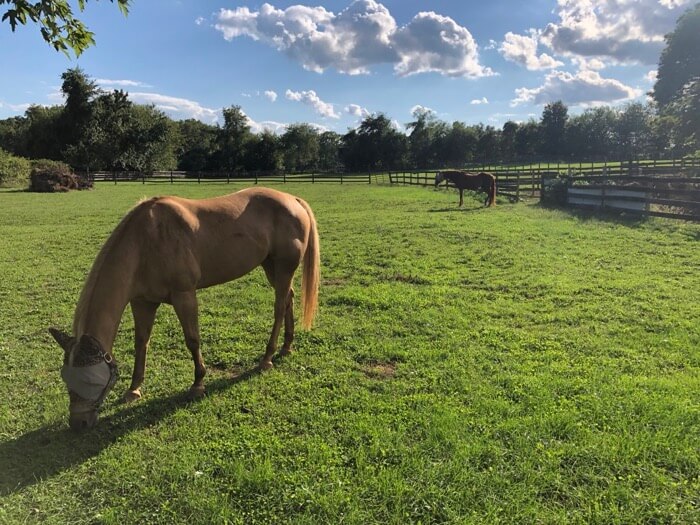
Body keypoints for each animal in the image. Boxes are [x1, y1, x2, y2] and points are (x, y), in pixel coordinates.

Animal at [48, 187, 320, 430]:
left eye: (91, 380)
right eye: (65, 377)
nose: (79, 423)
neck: (145, 242)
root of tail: (293, 200)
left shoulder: (184, 295)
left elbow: (192, 339)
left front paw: (198, 384)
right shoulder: (142, 302)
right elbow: (141, 342)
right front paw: (134, 389)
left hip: (283, 267)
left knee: (279, 306)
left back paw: (267, 358)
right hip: (270, 265)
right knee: (288, 299)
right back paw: (286, 347)